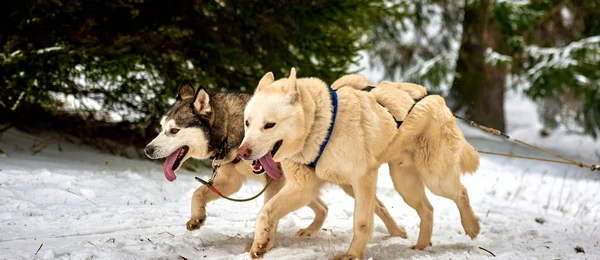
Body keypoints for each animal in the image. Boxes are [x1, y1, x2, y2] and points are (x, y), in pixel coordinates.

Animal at [238, 68, 478, 258]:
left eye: (269, 125)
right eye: (247, 123)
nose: (242, 152)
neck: (322, 126)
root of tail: (437, 100)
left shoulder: (363, 179)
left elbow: (361, 222)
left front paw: (352, 255)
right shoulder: (302, 187)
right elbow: (266, 212)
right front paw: (260, 245)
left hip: (435, 178)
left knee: (462, 193)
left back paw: (472, 227)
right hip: (402, 184)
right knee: (427, 209)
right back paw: (420, 245)